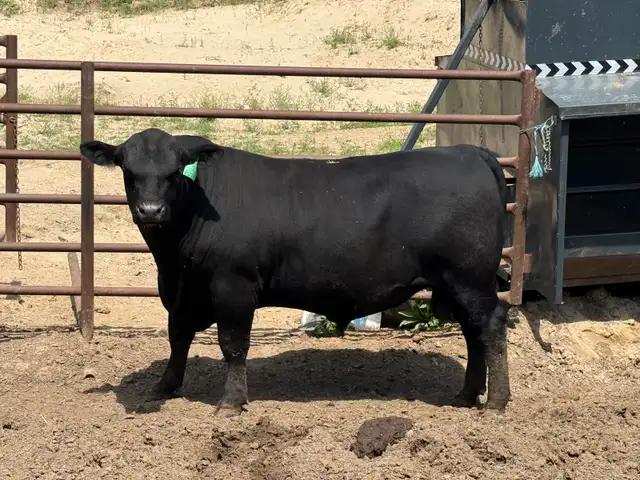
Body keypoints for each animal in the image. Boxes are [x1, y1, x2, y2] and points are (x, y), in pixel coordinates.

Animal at [79, 127, 511, 417]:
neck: (173, 255)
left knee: (489, 328)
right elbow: (178, 337)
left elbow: (232, 345)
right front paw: (164, 386)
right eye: (129, 171)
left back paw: (496, 401)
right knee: (473, 335)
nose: (151, 210)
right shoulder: (180, 291)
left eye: (173, 173)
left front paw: (230, 403)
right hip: (457, 284)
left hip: (468, 279)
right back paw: (466, 395)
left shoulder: (233, 286)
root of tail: (470, 152)